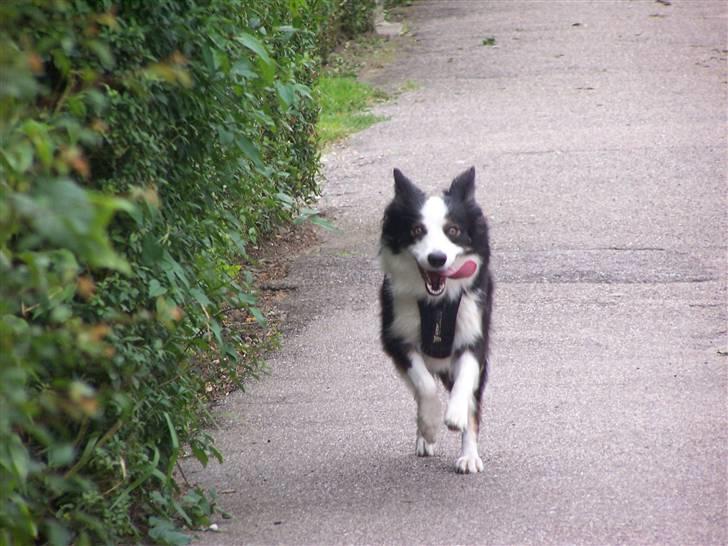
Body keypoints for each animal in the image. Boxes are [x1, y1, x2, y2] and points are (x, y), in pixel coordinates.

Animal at [378, 166, 492, 472]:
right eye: (417, 230)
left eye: (453, 230)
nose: (437, 258)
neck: (437, 303)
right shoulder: (396, 337)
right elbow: (425, 385)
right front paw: (429, 427)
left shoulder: (474, 332)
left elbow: (465, 381)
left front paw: (456, 415)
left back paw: (468, 455)